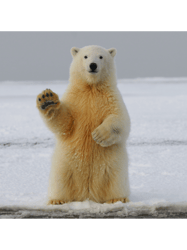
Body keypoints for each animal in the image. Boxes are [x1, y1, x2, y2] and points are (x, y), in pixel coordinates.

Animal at [36, 45, 130, 205]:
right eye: (85, 56)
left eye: (101, 57)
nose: (93, 65)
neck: (91, 87)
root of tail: (87, 195)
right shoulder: (75, 100)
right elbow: (65, 123)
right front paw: (47, 100)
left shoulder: (111, 98)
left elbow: (120, 119)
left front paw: (99, 135)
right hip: (64, 164)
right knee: (60, 180)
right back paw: (57, 200)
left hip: (114, 164)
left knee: (116, 180)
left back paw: (118, 198)